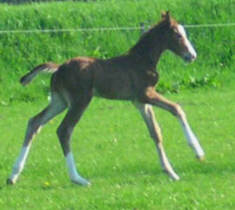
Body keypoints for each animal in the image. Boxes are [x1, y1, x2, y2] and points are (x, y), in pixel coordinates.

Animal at [7, 11, 205, 185]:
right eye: (178, 35)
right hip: (80, 101)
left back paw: (13, 175)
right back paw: (77, 179)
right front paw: (198, 151)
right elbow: (177, 108)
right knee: (64, 130)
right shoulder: (145, 94)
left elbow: (155, 132)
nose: (192, 56)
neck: (142, 60)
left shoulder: (139, 102)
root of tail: (59, 68)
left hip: (59, 101)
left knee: (34, 122)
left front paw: (170, 172)